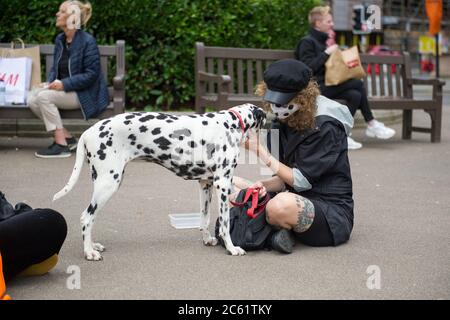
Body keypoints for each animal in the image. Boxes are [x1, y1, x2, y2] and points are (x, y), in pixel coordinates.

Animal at [53, 104, 266, 260]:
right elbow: (224, 222)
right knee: (86, 217)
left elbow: (204, 218)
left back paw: (92, 245)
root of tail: (88, 131)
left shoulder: (205, 183)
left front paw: (207, 239)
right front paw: (231, 248)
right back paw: (89, 252)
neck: (230, 123)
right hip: (108, 184)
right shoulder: (222, 184)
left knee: (91, 219)